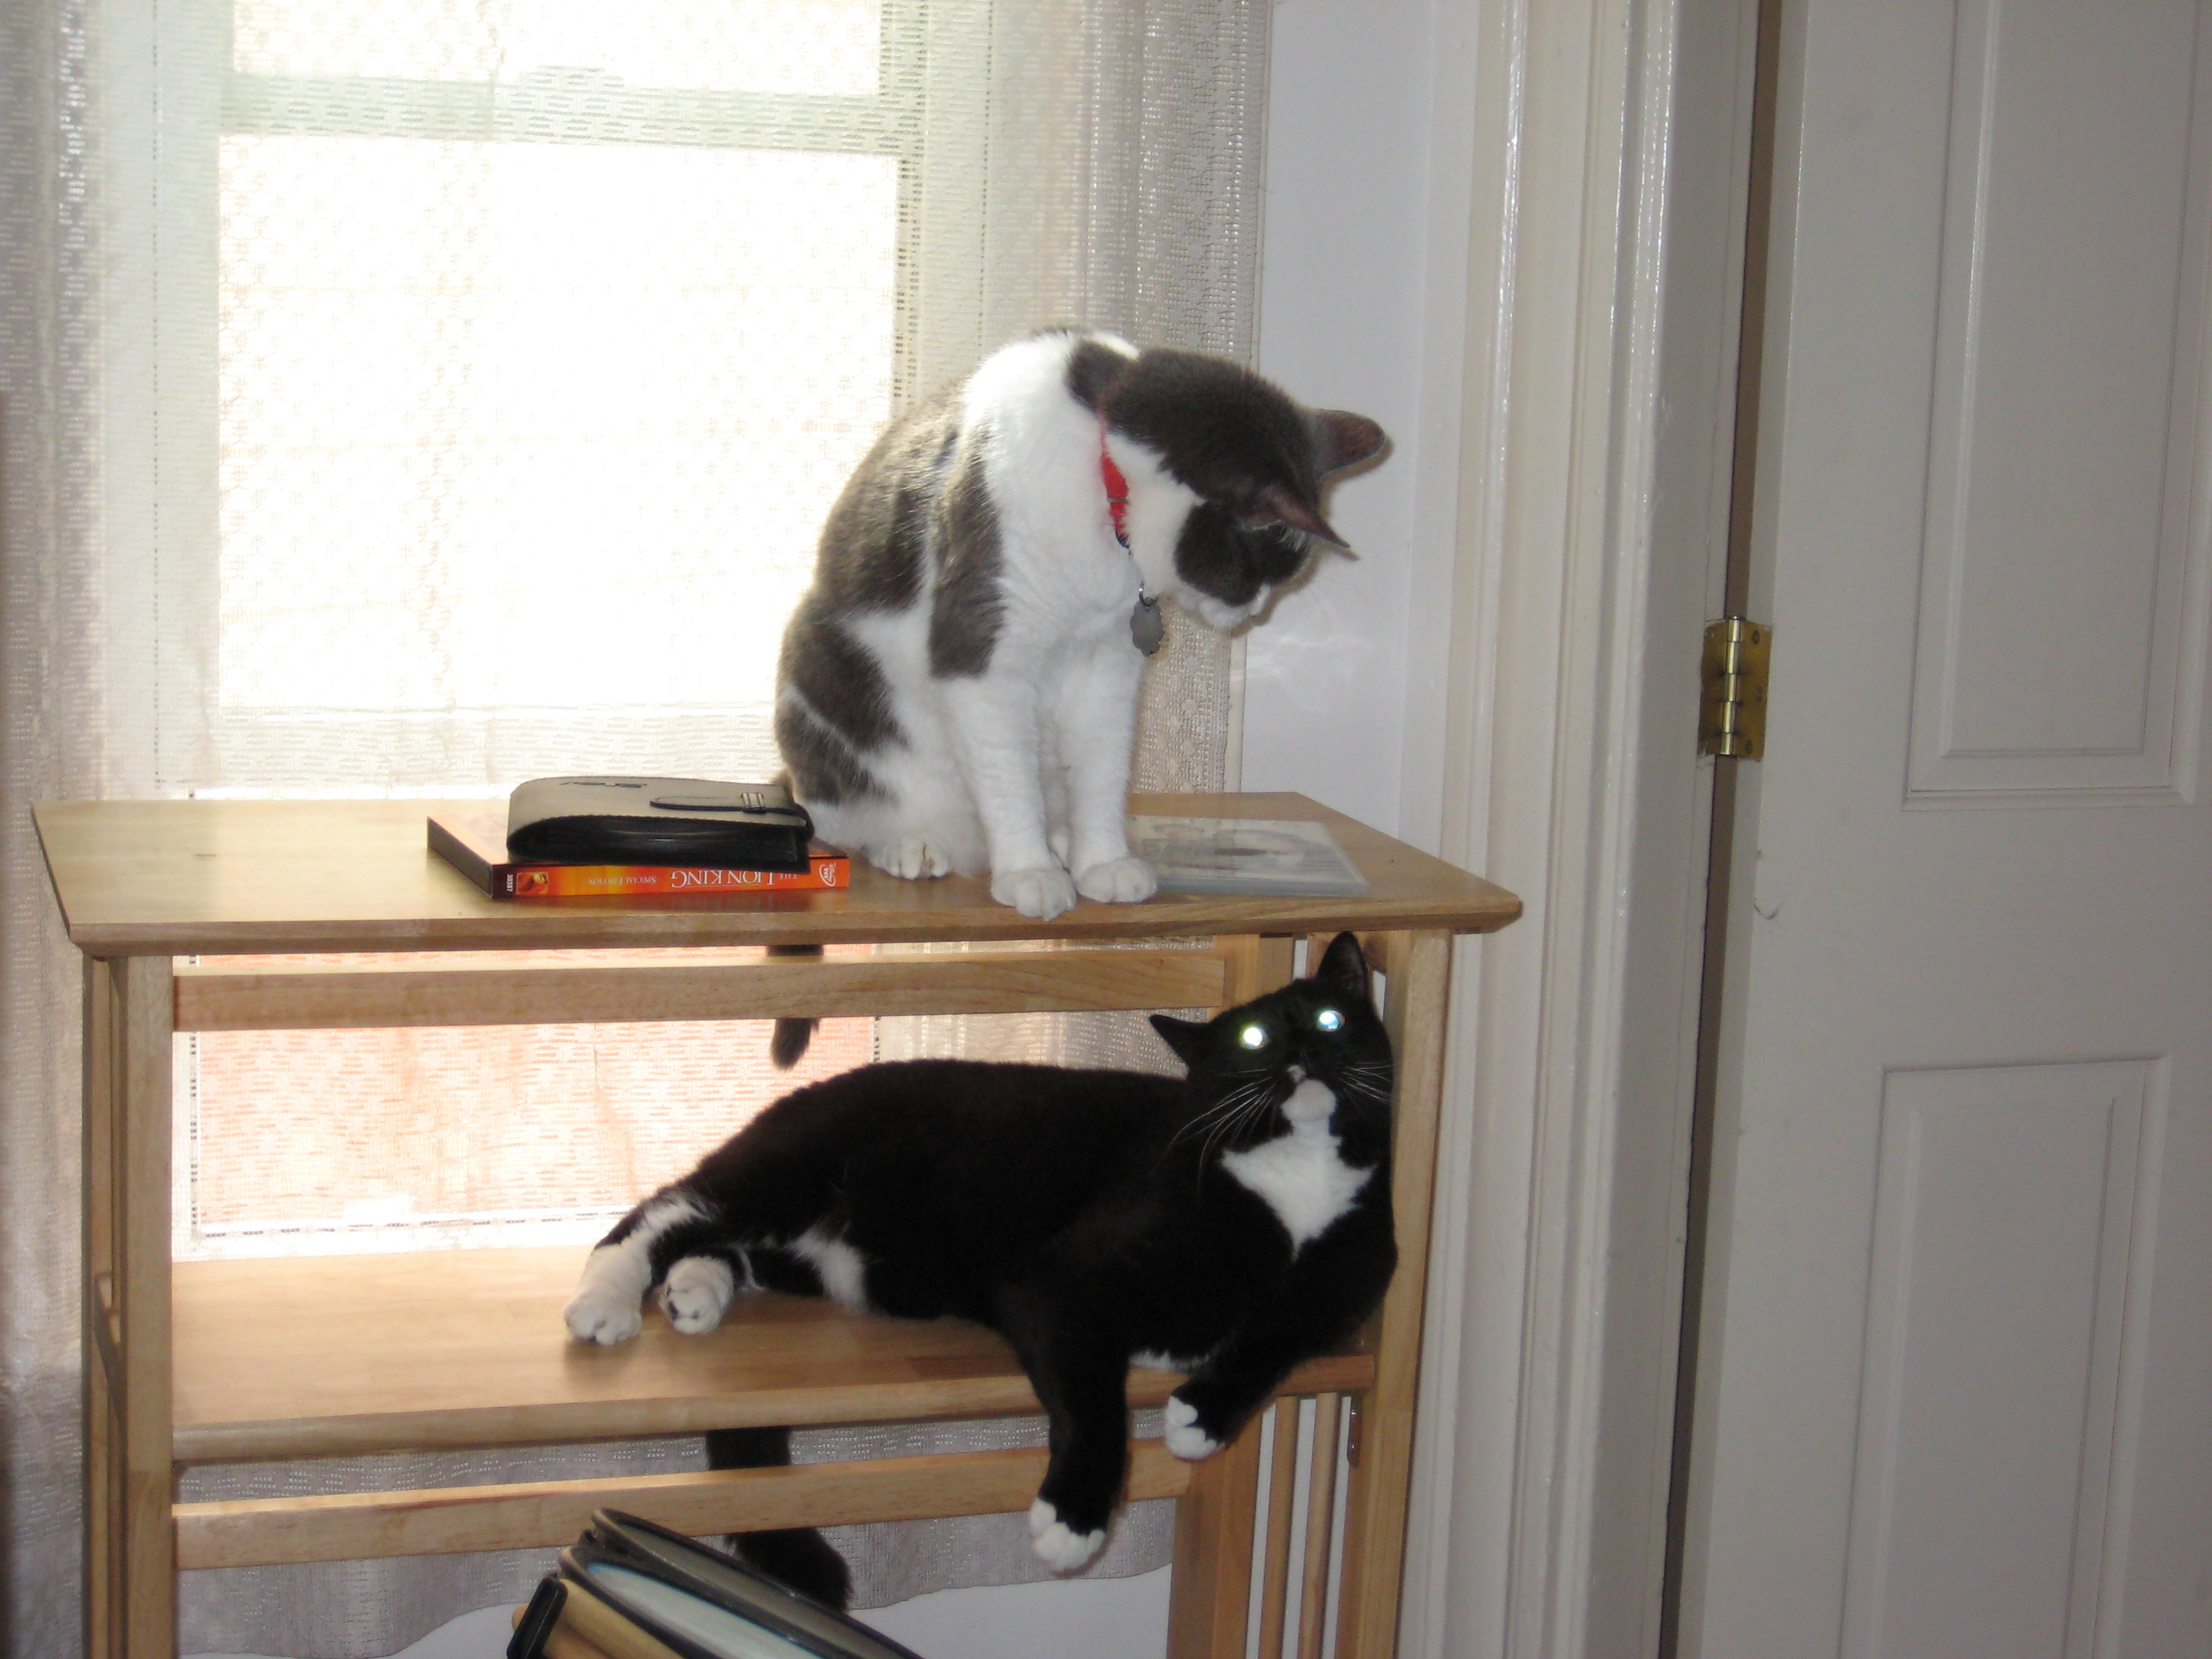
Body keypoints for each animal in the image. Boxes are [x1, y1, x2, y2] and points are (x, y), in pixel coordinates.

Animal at [563, 931, 1398, 1573]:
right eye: (1254, 1040)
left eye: (1331, 1015)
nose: (1305, 1049)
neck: (1295, 1175)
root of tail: (806, 1092)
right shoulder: (1057, 1281)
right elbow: (1095, 1401)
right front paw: (1074, 1521)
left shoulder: (1349, 1286)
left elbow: (1278, 1335)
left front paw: (1203, 1416)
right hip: (793, 1168)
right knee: (669, 1207)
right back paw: (608, 1300)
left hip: (835, 1259)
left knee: (731, 1247)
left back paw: (695, 1292)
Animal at [772, 329, 1385, 925]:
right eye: (1256, 573)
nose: (1254, 613)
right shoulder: (982, 654)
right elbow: (1006, 775)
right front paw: (1028, 870)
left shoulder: (1109, 663)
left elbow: (1103, 767)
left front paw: (1104, 860)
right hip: (820, 671)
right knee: (844, 814)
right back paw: (913, 841)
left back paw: (1061, 840)